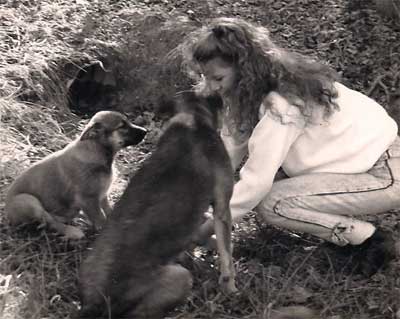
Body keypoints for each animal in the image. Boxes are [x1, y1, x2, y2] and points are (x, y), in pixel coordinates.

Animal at [5, 111, 147, 239]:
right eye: (122, 126)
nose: (145, 131)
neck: (96, 150)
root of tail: (8, 215)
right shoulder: (88, 199)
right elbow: (101, 219)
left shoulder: (102, 195)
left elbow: (109, 211)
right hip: (28, 200)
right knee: (48, 220)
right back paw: (73, 231)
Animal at [78, 92, 238, 319]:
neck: (192, 118)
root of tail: (95, 302)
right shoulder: (223, 207)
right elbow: (227, 255)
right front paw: (230, 287)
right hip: (180, 278)